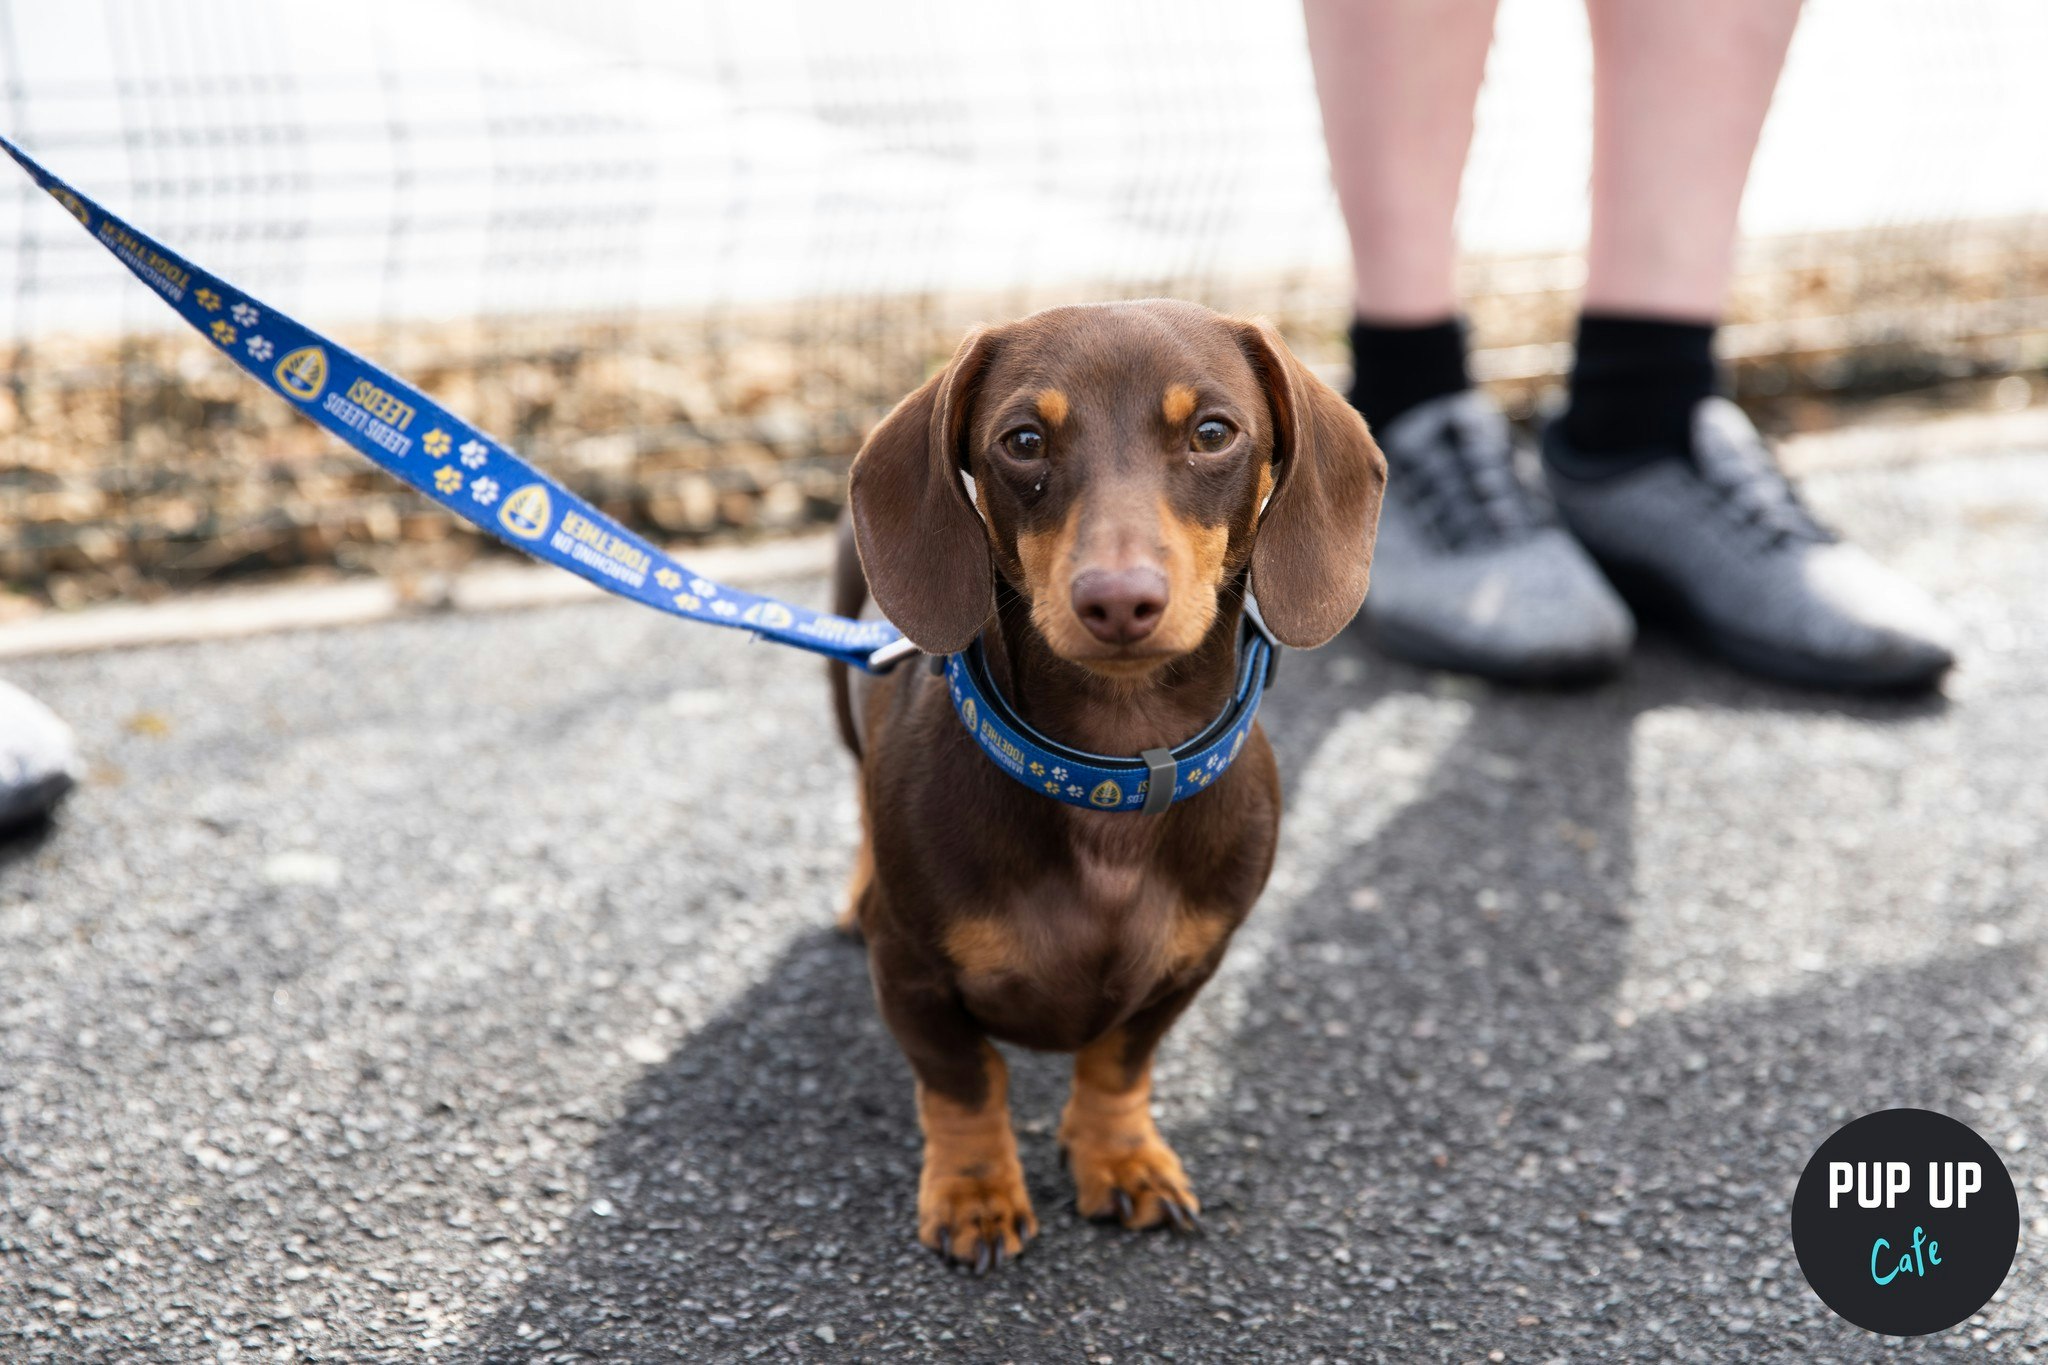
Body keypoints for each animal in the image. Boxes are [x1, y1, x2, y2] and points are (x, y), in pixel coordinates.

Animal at [831, 298, 1392, 1268]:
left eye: (1213, 431)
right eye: (1023, 439)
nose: (1119, 600)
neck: (1109, 776)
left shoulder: (1187, 968)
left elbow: (1117, 1063)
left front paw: (1121, 1158)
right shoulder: (909, 971)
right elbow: (964, 1082)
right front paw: (976, 1191)